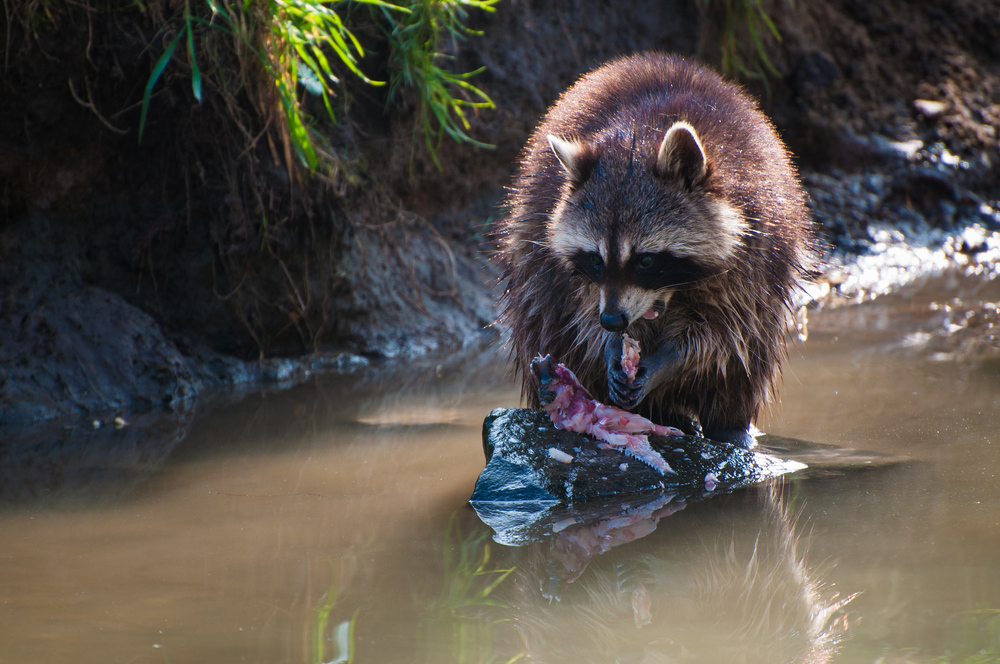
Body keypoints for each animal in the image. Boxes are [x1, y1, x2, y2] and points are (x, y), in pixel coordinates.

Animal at [496, 50, 816, 446]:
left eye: (645, 261)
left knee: (746, 359)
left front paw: (670, 358)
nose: (612, 321)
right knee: (542, 311)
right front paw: (609, 344)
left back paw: (729, 425)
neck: (641, 136)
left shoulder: (754, 251)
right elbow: (582, 311)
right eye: (596, 260)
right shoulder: (577, 275)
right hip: (531, 250)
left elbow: (724, 334)